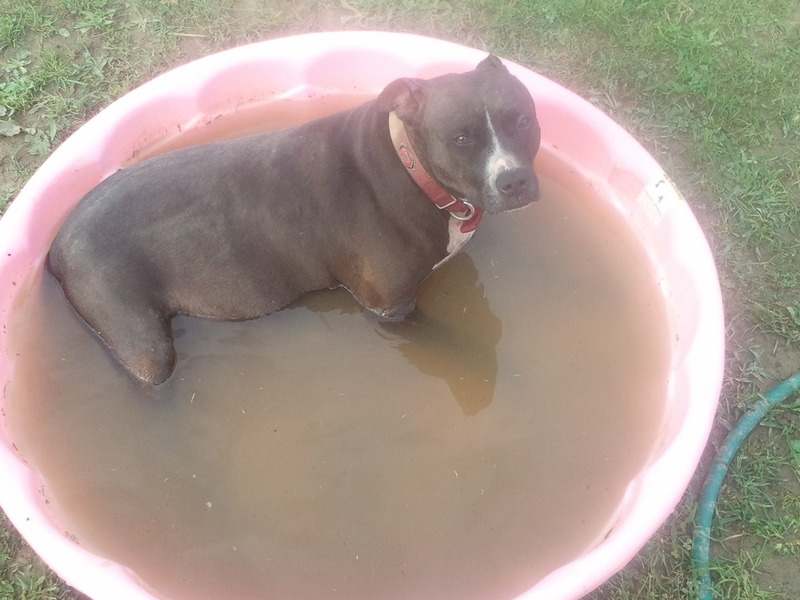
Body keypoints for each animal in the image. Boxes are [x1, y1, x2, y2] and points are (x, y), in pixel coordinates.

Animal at [47, 56, 540, 384]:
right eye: (461, 138)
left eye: (523, 120)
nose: (514, 179)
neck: (412, 167)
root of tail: (56, 246)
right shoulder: (390, 307)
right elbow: (461, 349)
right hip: (140, 340)